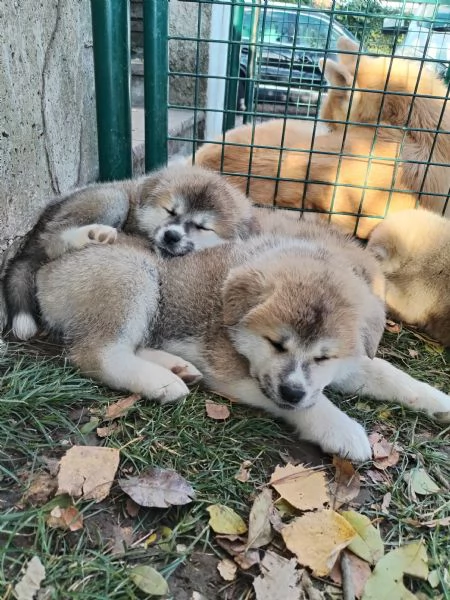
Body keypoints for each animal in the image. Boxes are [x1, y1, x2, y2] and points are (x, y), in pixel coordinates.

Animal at [35, 229, 450, 460]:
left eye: (324, 356)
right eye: (276, 343)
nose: (293, 391)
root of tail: (46, 269)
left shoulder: (343, 365)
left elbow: (388, 373)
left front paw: (438, 400)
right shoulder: (231, 370)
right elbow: (311, 405)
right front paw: (341, 429)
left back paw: (176, 367)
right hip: (136, 276)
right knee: (97, 353)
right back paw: (163, 382)